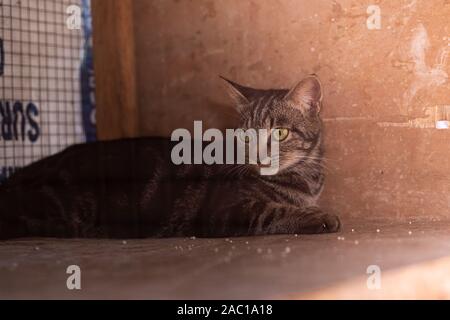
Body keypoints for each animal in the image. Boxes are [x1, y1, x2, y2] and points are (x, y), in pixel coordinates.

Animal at [0, 75, 342, 239]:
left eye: (280, 133)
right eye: (246, 136)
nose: (258, 158)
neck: (306, 179)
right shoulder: (228, 211)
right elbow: (273, 212)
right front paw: (319, 217)